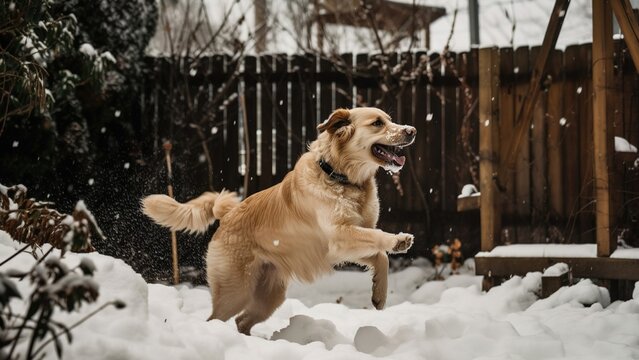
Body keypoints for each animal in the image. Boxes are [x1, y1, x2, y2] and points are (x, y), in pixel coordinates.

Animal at [142, 106, 418, 334]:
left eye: (390, 119)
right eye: (377, 123)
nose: (412, 130)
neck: (341, 176)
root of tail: (228, 214)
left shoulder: (345, 245)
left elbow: (380, 256)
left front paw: (379, 295)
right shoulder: (340, 236)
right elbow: (379, 238)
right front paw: (398, 241)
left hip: (269, 295)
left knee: (242, 321)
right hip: (236, 291)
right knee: (217, 319)